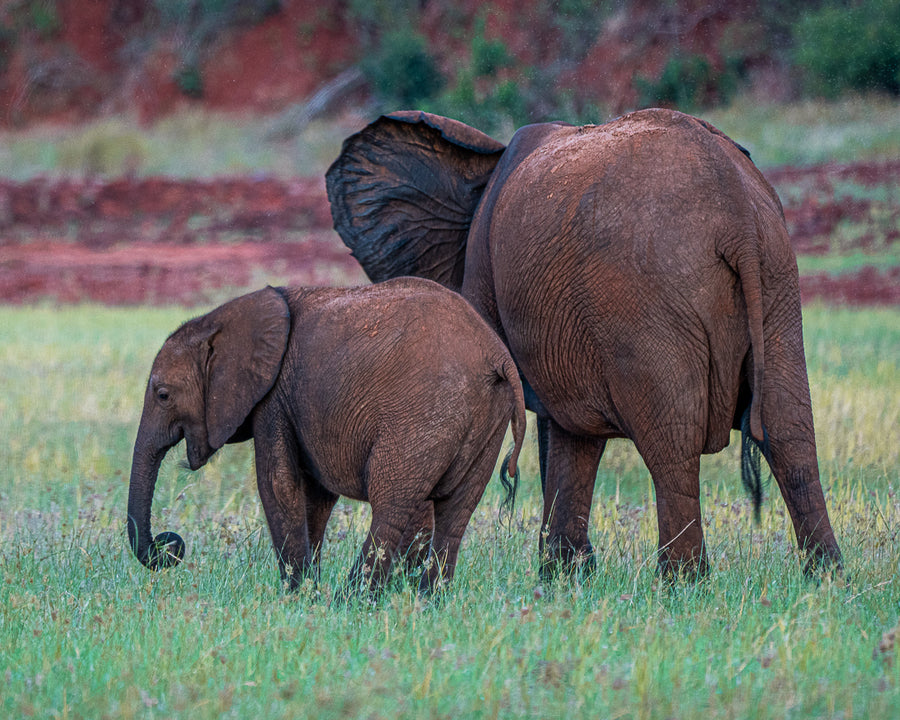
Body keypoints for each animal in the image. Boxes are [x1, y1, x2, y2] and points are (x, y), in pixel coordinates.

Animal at [123, 278, 524, 592]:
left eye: (163, 395)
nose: (170, 545)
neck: (220, 319)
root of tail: (496, 355)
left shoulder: (274, 398)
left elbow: (278, 484)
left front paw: (297, 596)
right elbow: (315, 496)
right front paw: (307, 592)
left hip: (426, 411)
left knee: (392, 502)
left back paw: (351, 602)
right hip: (486, 418)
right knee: (457, 510)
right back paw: (427, 603)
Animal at [328, 108, 844, 580]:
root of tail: (737, 213)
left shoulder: (486, 272)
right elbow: (573, 430)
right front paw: (567, 574)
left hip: (645, 298)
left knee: (672, 440)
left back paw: (682, 584)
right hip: (777, 279)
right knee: (788, 424)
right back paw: (825, 577)